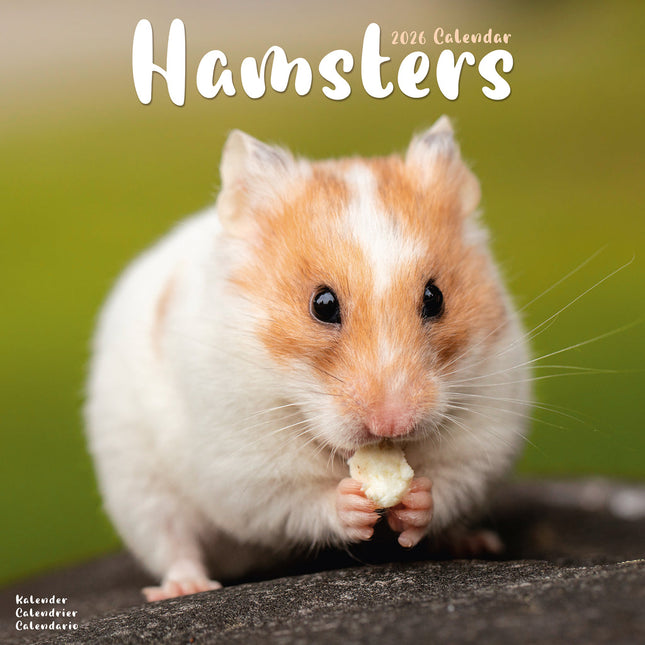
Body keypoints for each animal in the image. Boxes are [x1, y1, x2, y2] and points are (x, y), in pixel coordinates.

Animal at [85, 116, 530, 601]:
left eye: (435, 298)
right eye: (323, 305)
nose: (392, 424)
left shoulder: (484, 431)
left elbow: (448, 482)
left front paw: (414, 501)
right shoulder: (245, 468)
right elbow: (299, 502)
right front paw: (353, 504)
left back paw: (475, 542)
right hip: (138, 486)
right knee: (172, 541)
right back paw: (185, 587)